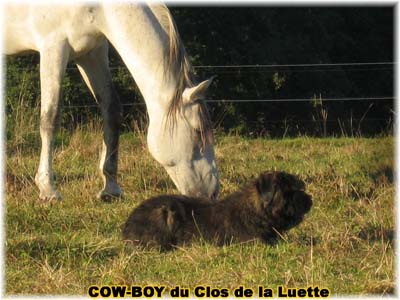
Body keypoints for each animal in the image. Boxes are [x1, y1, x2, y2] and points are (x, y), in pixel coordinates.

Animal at [3, 2, 220, 202]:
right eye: (198, 131)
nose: (213, 193)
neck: (99, 8)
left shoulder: (91, 52)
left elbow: (111, 111)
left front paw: (111, 188)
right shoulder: (53, 47)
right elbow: (50, 118)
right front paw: (48, 189)